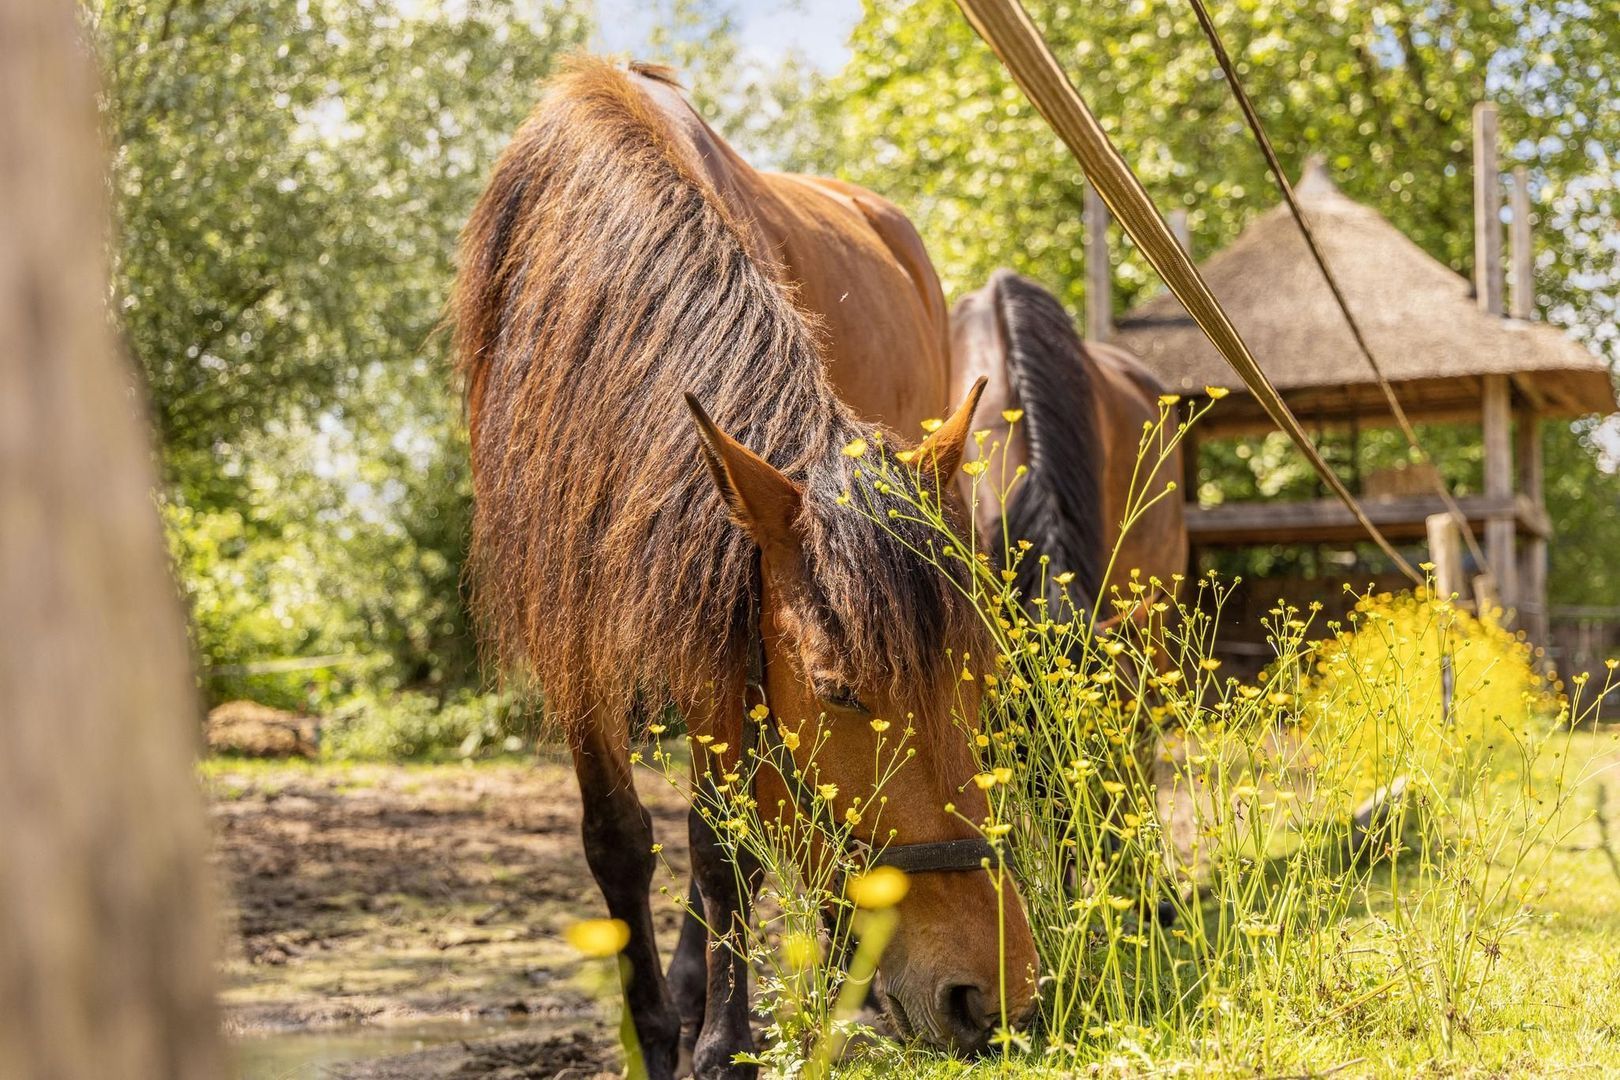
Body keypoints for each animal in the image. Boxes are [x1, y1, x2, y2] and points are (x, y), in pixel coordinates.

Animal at [453, 61, 1036, 1080]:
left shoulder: (720, 625)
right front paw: (656, 1037)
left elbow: (721, 844)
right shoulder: (578, 628)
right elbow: (619, 839)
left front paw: (726, 1047)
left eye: (979, 682)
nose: (998, 994)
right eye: (840, 694)